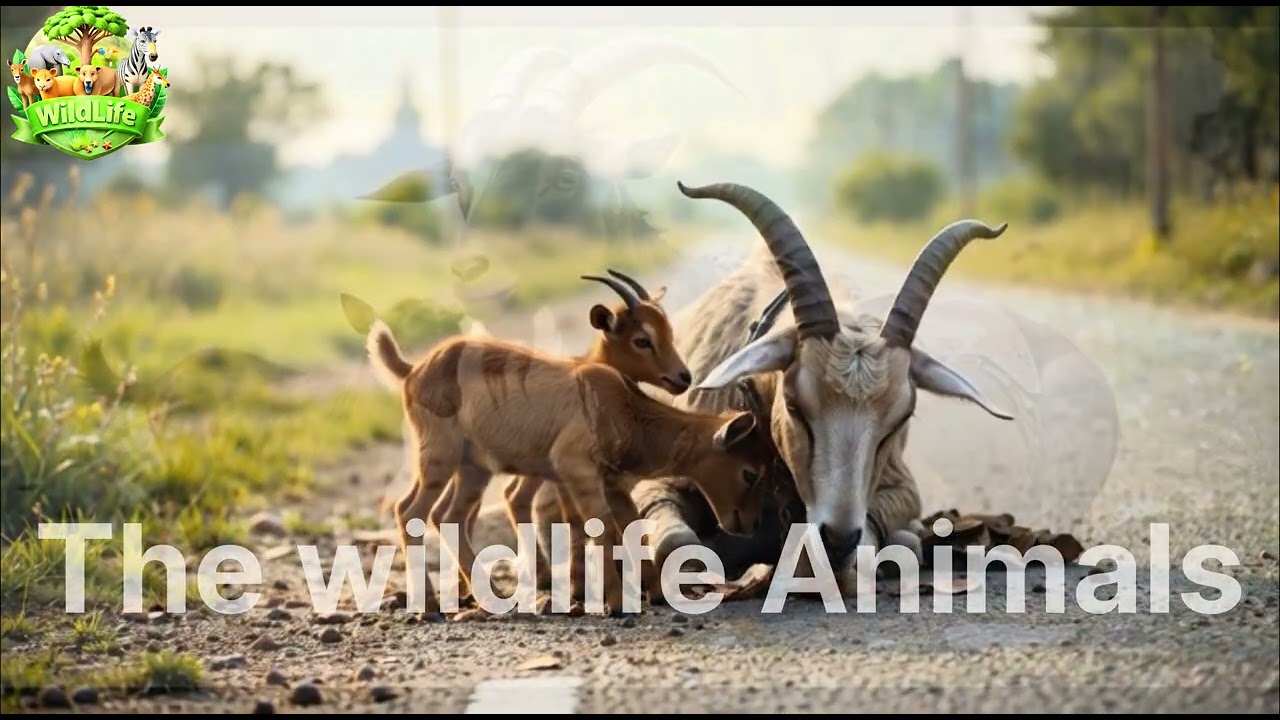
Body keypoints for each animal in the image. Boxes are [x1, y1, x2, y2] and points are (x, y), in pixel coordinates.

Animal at [366, 315, 774, 616]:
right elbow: (601, 527)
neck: (621, 405)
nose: (751, 523)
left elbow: (630, 528)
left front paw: (655, 593)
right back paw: (433, 603)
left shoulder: (612, 484)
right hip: (440, 456)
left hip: (473, 468)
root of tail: (414, 370)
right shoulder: (576, 470)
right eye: (750, 471)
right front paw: (615, 603)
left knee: (448, 516)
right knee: (410, 511)